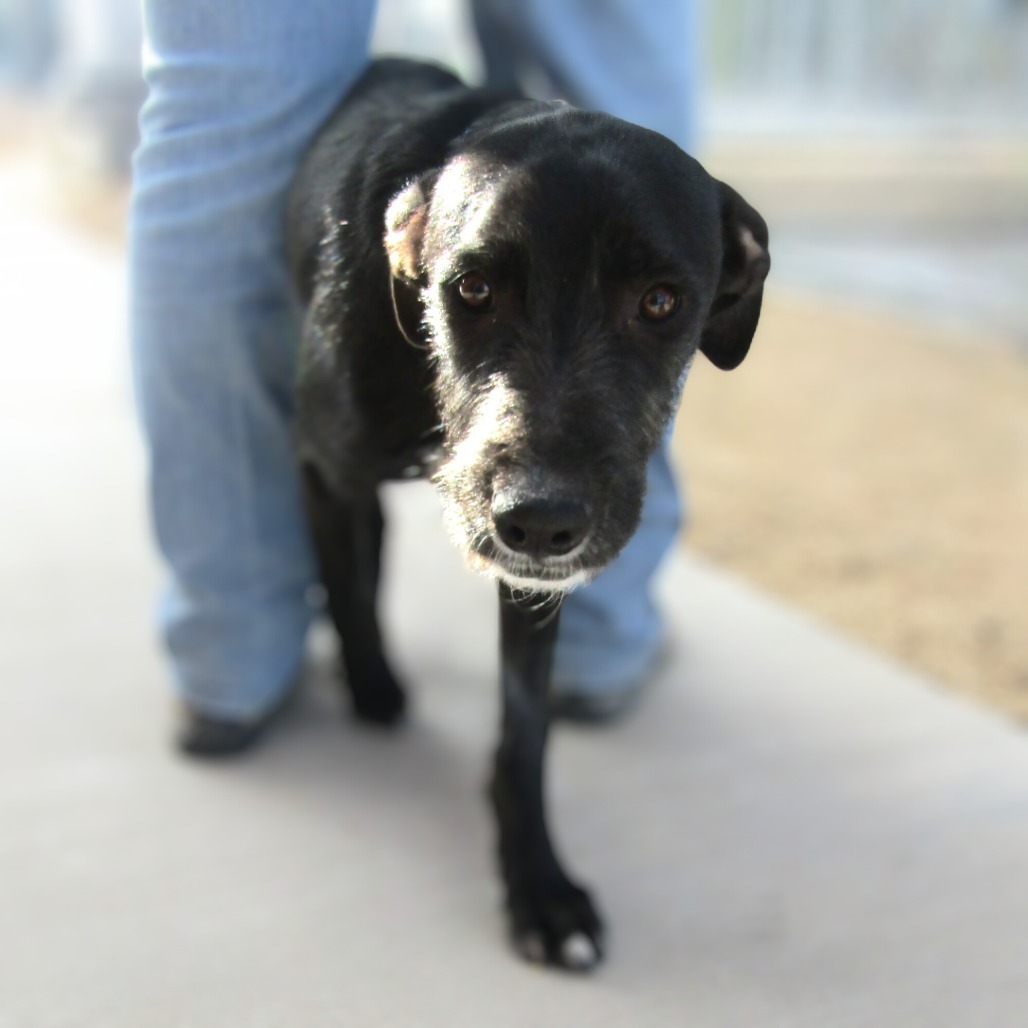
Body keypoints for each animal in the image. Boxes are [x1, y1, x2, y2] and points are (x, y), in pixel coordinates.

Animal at [285, 58, 768, 970]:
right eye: (471, 289)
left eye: (661, 302)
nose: (541, 519)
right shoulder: (322, 467)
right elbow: (353, 590)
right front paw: (372, 690)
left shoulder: (536, 579)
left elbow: (526, 731)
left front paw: (538, 883)